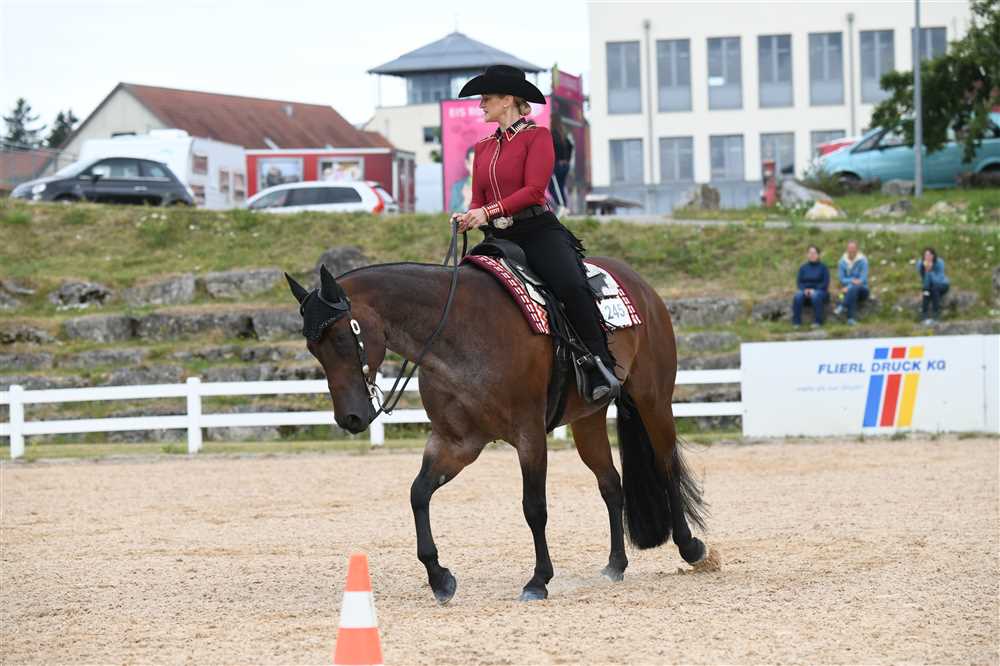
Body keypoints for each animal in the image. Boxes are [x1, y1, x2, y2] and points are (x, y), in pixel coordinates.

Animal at [285, 251, 717, 604]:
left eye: (342, 337)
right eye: (312, 348)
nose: (351, 418)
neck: (457, 329)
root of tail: (640, 284)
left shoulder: (529, 436)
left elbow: (534, 508)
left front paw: (539, 581)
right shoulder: (456, 442)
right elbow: (418, 494)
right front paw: (440, 578)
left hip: (653, 399)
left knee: (665, 466)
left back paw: (690, 547)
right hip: (588, 420)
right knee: (611, 483)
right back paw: (615, 565)